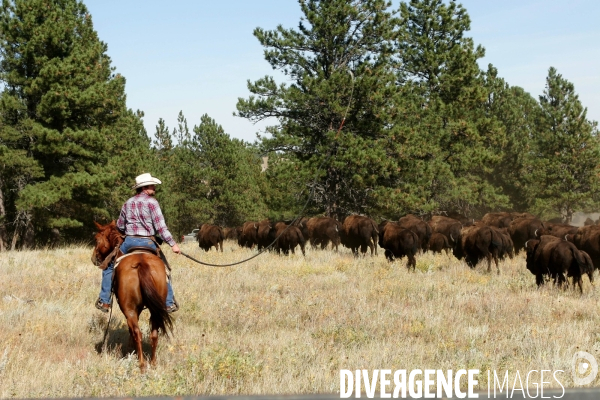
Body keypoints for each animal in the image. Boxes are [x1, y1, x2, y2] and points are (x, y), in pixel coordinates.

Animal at [91, 220, 172, 370]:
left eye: (97, 239)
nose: (94, 258)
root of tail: (141, 263)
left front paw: (129, 350)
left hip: (129, 309)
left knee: (137, 332)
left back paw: (141, 364)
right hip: (155, 310)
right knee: (154, 334)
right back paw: (153, 363)